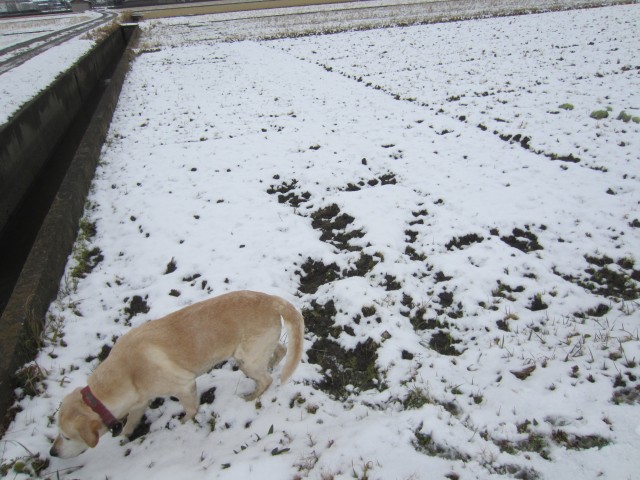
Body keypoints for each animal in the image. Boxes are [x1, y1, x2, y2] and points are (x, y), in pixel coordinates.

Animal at [50, 290, 304, 460]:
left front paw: (181, 423)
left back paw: (252, 396)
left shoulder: (185, 386)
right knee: (280, 352)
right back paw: (271, 365)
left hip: (246, 359)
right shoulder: (139, 402)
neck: (126, 373)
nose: (52, 452)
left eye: (67, 437)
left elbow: (190, 410)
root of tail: (272, 299)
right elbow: (131, 421)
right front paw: (124, 436)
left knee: (266, 380)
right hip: (254, 353)